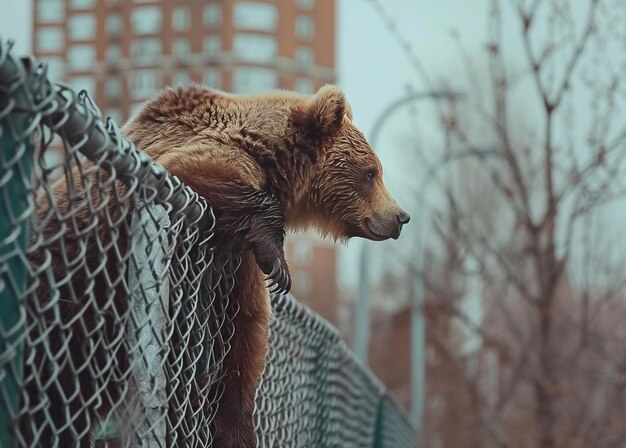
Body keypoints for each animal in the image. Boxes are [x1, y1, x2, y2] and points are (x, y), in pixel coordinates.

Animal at [28, 83, 410, 444]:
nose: (400, 217)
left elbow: (246, 332)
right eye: (371, 173)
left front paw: (237, 429)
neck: (276, 164)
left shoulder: (238, 262)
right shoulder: (187, 170)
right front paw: (281, 265)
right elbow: (193, 170)